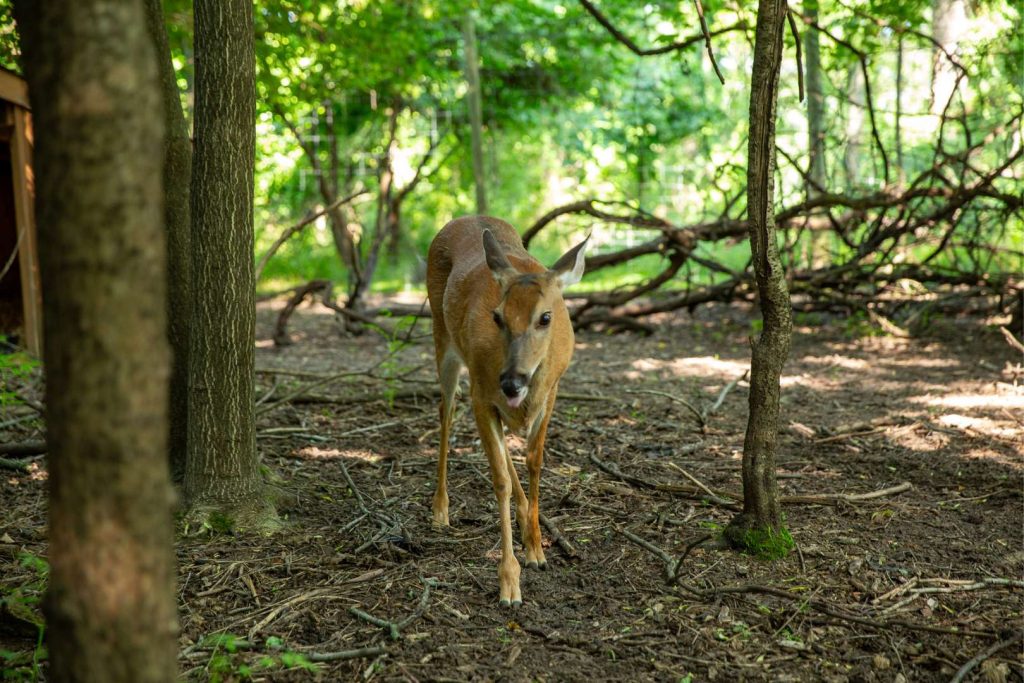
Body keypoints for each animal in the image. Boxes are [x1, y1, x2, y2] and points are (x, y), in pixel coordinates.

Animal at [423, 216, 589, 606]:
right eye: (497, 316)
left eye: (546, 317)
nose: (512, 382)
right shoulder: (482, 395)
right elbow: (499, 480)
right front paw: (509, 582)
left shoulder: (551, 392)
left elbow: (534, 461)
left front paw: (536, 550)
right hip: (443, 338)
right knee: (445, 411)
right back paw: (440, 510)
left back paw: (525, 518)